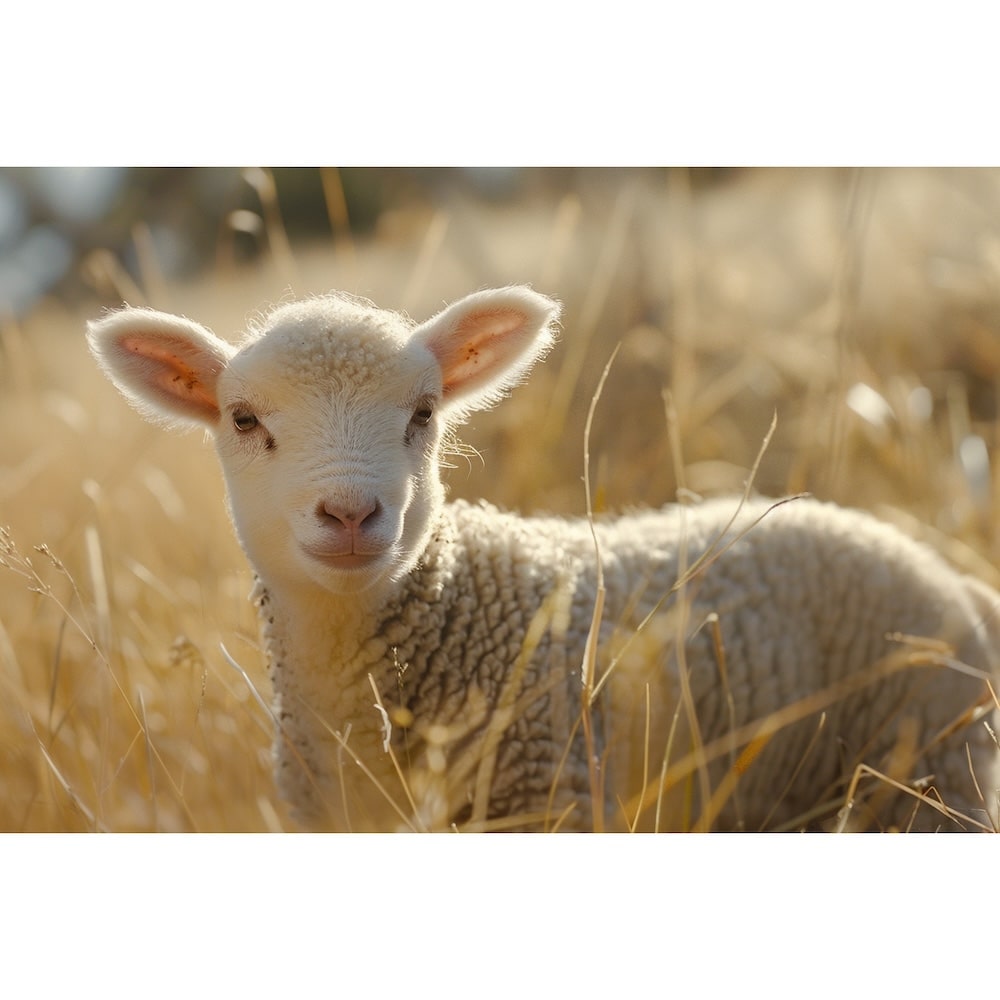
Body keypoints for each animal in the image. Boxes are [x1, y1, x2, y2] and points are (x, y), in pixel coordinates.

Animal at [87, 285, 1000, 833]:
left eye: (424, 413)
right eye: (242, 420)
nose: (350, 514)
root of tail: (949, 576)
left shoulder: (548, 795)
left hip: (933, 770)